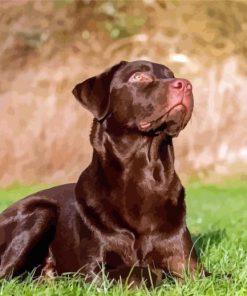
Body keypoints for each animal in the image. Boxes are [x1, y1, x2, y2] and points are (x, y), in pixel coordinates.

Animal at [0, 60, 206, 286]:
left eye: (171, 75)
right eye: (139, 77)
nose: (185, 84)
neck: (143, 174)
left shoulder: (188, 264)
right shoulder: (93, 270)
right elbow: (143, 271)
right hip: (40, 212)